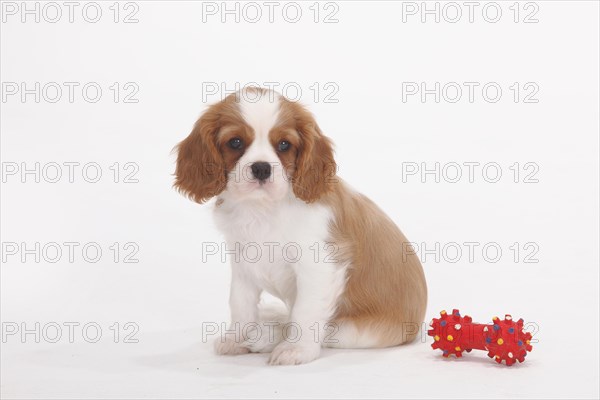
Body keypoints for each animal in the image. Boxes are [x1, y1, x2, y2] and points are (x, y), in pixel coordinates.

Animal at [173, 87, 426, 366]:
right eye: (235, 142)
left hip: (356, 331)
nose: (261, 168)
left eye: (284, 145)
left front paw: (296, 349)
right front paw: (237, 338)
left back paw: (266, 336)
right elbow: (240, 302)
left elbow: (305, 312)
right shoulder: (242, 261)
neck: (263, 209)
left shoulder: (320, 265)